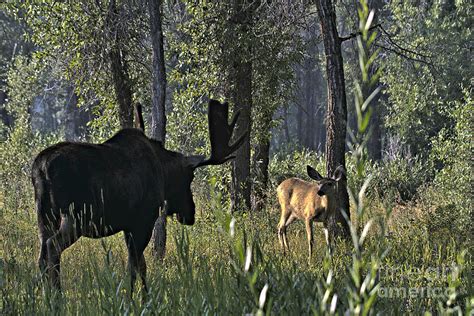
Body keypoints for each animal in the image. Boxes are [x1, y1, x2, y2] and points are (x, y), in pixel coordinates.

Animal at [31, 99, 246, 294]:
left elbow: (141, 265)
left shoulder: (130, 226)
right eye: (189, 177)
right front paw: (133, 300)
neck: (163, 169)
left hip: (45, 216)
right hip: (76, 217)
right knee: (53, 247)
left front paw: (146, 297)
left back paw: (42, 297)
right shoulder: (143, 221)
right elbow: (134, 266)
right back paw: (57, 296)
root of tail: (40, 169)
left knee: (42, 256)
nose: (190, 213)